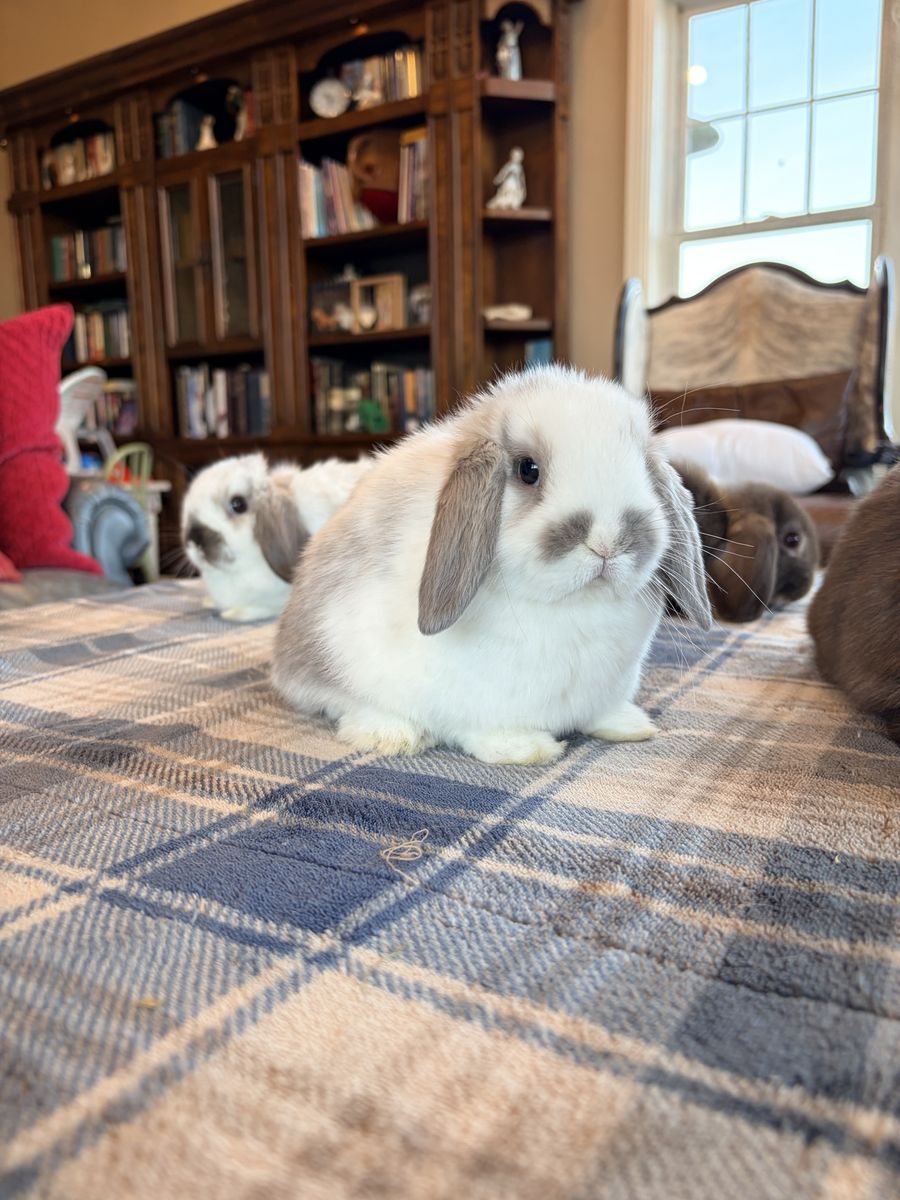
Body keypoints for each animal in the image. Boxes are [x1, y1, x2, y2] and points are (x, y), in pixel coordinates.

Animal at [272, 365, 711, 764]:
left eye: (643, 466)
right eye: (528, 469)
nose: (608, 542)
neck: (573, 604)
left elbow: (603, 713)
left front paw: (630, 725)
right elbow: (486, 729)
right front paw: (526, 749)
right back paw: (393, 735)